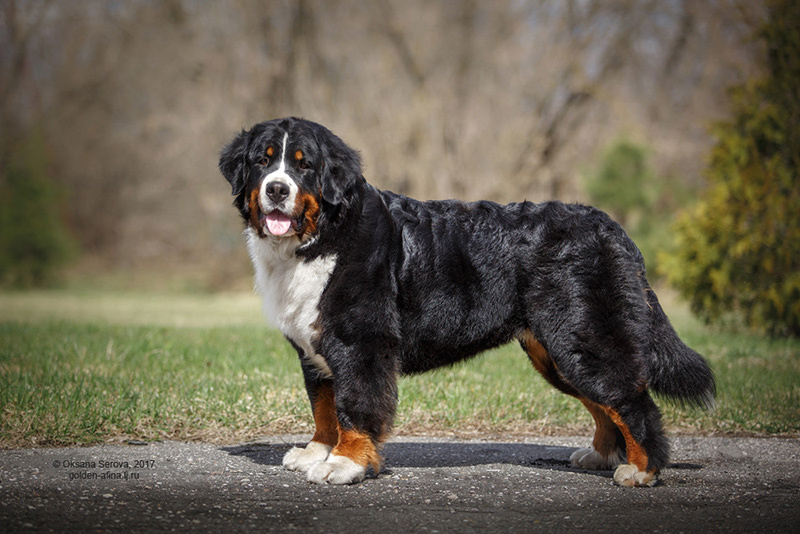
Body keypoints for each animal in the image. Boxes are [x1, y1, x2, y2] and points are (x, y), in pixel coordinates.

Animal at [217, 118, 712, 490]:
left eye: (304, 167)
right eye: (263, 161)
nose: (277, 189)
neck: (322, 239)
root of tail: (610, 225)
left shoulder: (359, 343)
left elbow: (353, 407)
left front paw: (345, 463)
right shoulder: (314, 349)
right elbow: (323, 407)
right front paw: (316, 451)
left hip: (583, 337)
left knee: (632, 401)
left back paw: (641, 470)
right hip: (556, 350)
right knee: (604, 403)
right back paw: (601, 455)